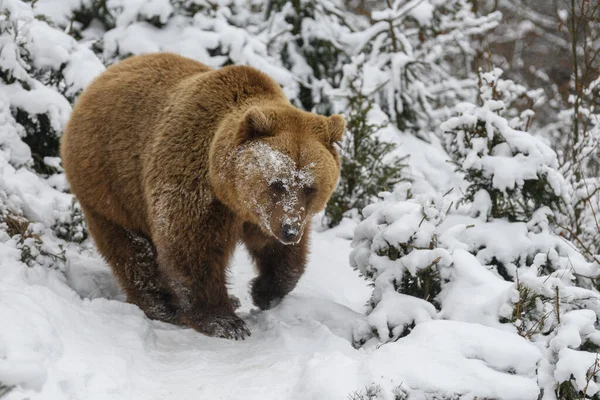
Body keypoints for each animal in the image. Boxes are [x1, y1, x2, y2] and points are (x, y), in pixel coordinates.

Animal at [61, 53, 344, 340]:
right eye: (277, 183)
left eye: (310, 187)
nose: (289, 229)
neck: (228, 191)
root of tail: (98, 81)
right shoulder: (193, 185)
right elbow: (193, 249)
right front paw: (224, 321)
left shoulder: (260, 215)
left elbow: (280, 253)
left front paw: (264, 292)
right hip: (109, 183)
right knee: (131, 251)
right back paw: (165, 305)